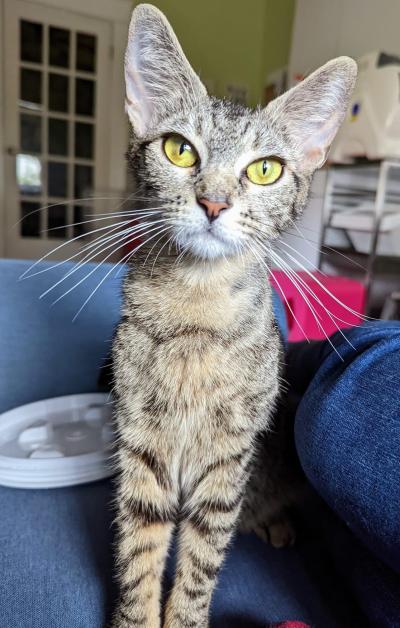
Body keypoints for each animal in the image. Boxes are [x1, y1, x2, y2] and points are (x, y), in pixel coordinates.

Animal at [110, 2, 356, 624]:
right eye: (179, 149)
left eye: (265, 169)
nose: (214, 202)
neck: (198, 304)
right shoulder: (139, 445)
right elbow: (139, 555)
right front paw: (137, 616)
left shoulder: (229, 459)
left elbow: (200, 563)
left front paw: (185, 616)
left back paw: (276, 523)